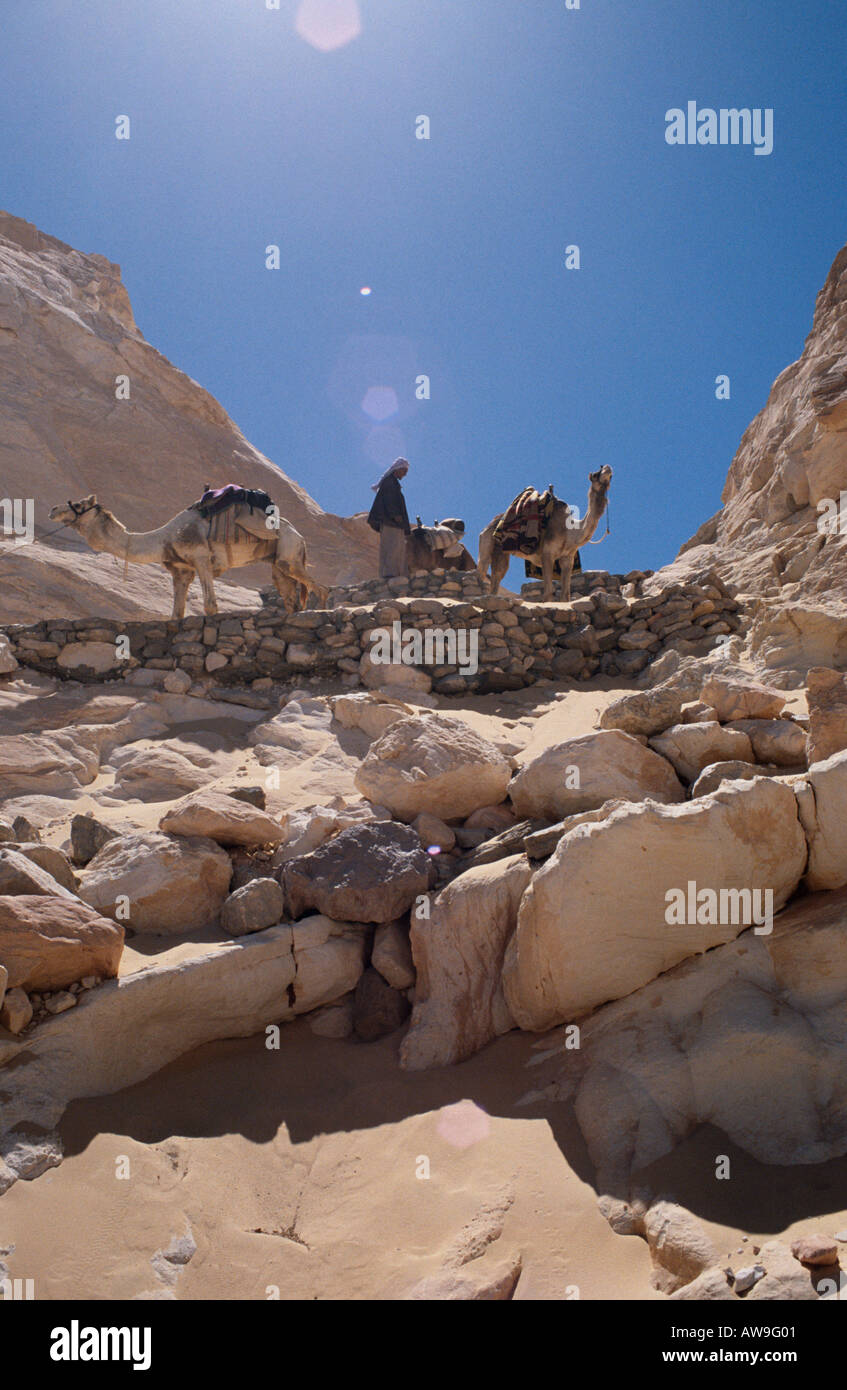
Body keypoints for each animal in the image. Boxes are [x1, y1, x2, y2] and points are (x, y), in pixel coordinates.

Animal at [478, 467, 611, 603]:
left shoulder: (567, 559)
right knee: (484, 572)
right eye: (596, 474)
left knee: (496, 578)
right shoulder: (547, 554)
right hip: (488, 544)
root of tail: (489, 525)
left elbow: (565, 595)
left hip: (500, 552)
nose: (607, 468)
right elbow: (548, 593)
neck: (569, 533)